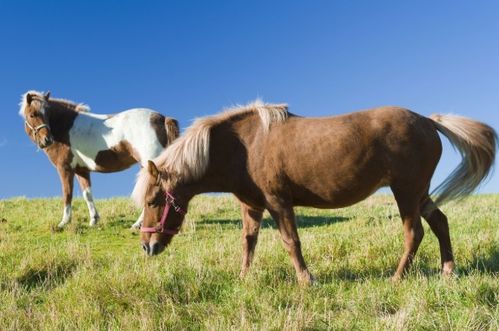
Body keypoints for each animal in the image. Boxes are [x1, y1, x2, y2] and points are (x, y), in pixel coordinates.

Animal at [20, 91, 180, 231]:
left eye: (47, 114)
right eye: (32, 114)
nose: (47, 140)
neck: (66, 127)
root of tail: (162, 118)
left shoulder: (64, 168)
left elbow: (67, 193)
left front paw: (64, 222)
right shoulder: (81, 170)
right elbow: (87, 194)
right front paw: (93, 220)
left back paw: (138, 224)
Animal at [132, 101, 496, 286]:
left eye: (153, 201)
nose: (147, 247)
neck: (244, 147)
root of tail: (429, 121)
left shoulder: (279, 203)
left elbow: (291, 242)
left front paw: (306, 280)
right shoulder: (252, 207)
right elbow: (249, 243)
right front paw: (244, 278)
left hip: (405, 191)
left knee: (414, 232)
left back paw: (397, 277)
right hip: (418, 192)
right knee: (440, 222)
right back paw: (447, 270)